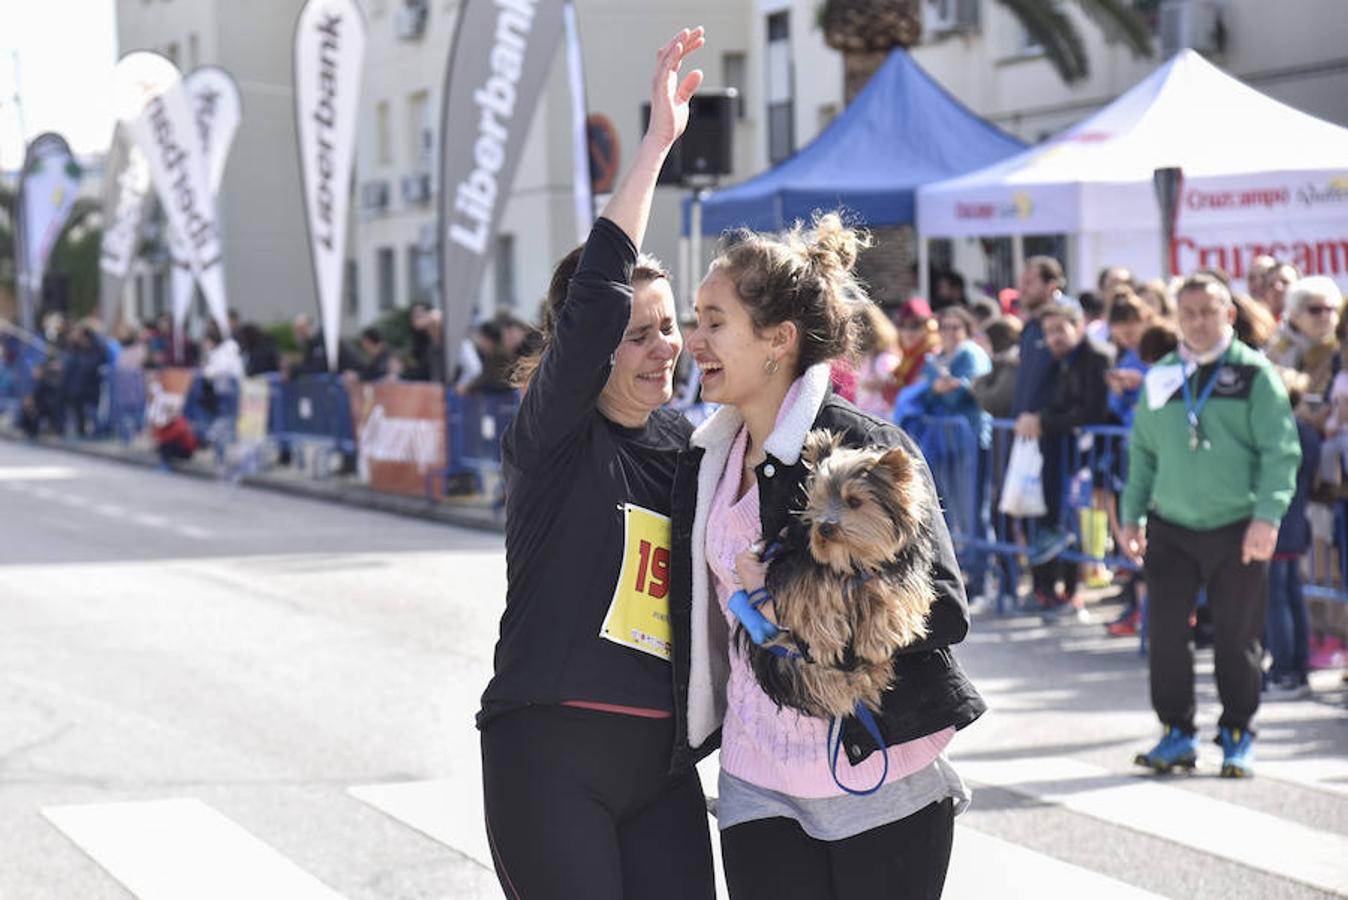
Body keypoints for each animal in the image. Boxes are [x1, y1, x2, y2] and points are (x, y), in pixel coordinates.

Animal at [749, 428, 938, 716]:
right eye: (819, 499)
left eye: (854, 501)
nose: (824, 527)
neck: (852, 558)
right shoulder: (795, 569)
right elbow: (813, 600)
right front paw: (826, 642)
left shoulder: (899, 575)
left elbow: (888, 597)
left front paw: (878, 639)